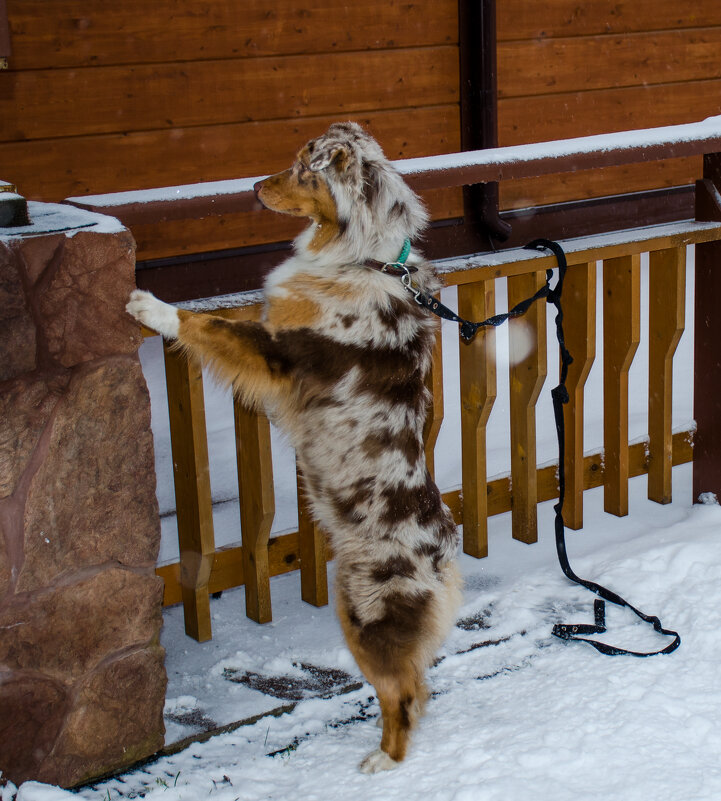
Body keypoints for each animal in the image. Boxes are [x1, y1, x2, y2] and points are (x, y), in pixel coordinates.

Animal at [125, 122, 462, 772]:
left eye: (306, 170)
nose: (254, 187)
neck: (364, 256)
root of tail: (442, 557)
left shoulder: (280, 352)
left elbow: (209, 326)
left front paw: (149, 306)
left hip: (363, 611)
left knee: (403, 691)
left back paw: (384, 761)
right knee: (418, 685)